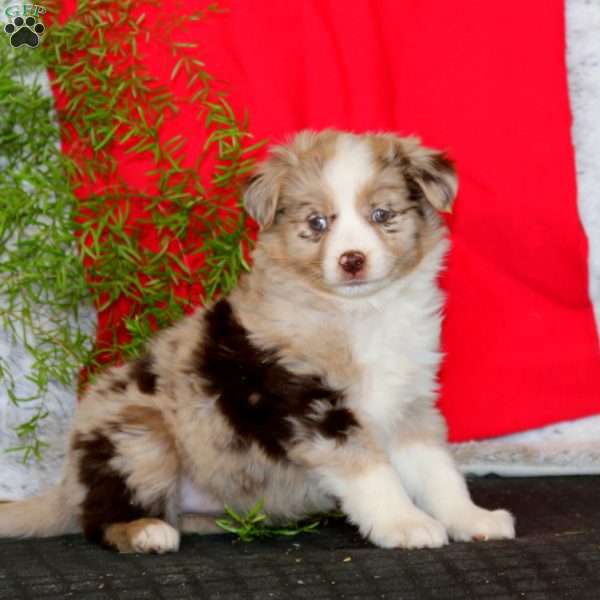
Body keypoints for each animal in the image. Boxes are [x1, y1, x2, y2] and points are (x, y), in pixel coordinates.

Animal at [0, 130, 516, 552]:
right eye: (317, 223)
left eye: (381, 214)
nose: (351, 260)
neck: (359, 312)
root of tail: (68, 482)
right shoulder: (312, 406)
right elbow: (372, 473)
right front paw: (404, 525)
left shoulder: (410, 401)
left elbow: (439, 472)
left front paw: (472, 519)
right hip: (139, 434)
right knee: (99, 518)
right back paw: (146, 531)